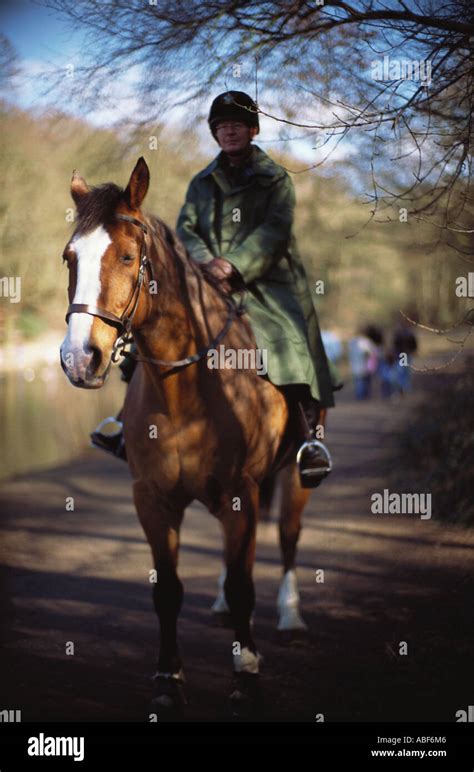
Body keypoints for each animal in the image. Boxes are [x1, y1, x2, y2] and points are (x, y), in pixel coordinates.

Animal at [60, 157, 326, 716]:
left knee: (288, 540)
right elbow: (168, 592)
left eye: (127, 255)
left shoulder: (240, 493)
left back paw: (290, 615)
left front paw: (245, 676)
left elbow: (248, 583)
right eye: (70, 257)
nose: (79, 359)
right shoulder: (153, 499)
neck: (185, 392)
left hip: (296, 477)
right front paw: (168, 679)